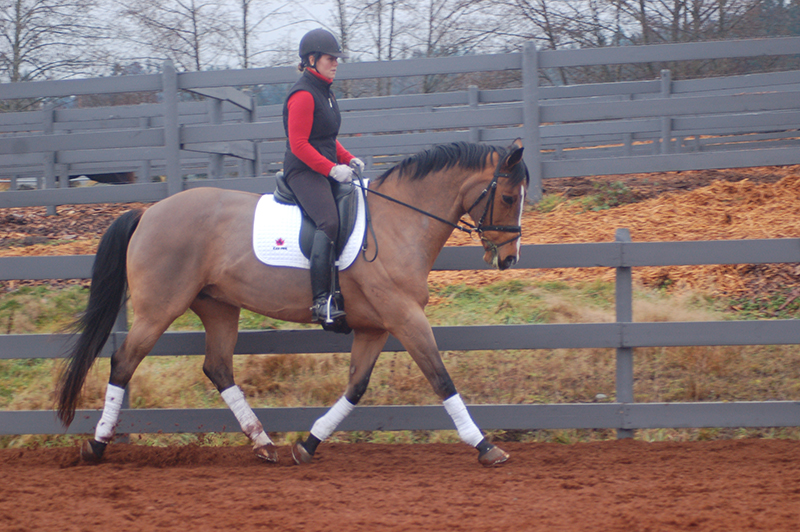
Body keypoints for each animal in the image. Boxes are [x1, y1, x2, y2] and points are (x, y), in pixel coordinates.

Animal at [56, 140, 529, 467]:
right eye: (508, 197)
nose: (509, 259)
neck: (399, 222)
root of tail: (148, 212)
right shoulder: (405, 318)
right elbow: (442, 379)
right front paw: (485, 446)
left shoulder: (375, 327)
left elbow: (355, 388)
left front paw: (308, 444)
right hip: (159, 309)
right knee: (123, 362)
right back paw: (96, 445)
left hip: (219, 307)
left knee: (218, 368)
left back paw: (264, 444)